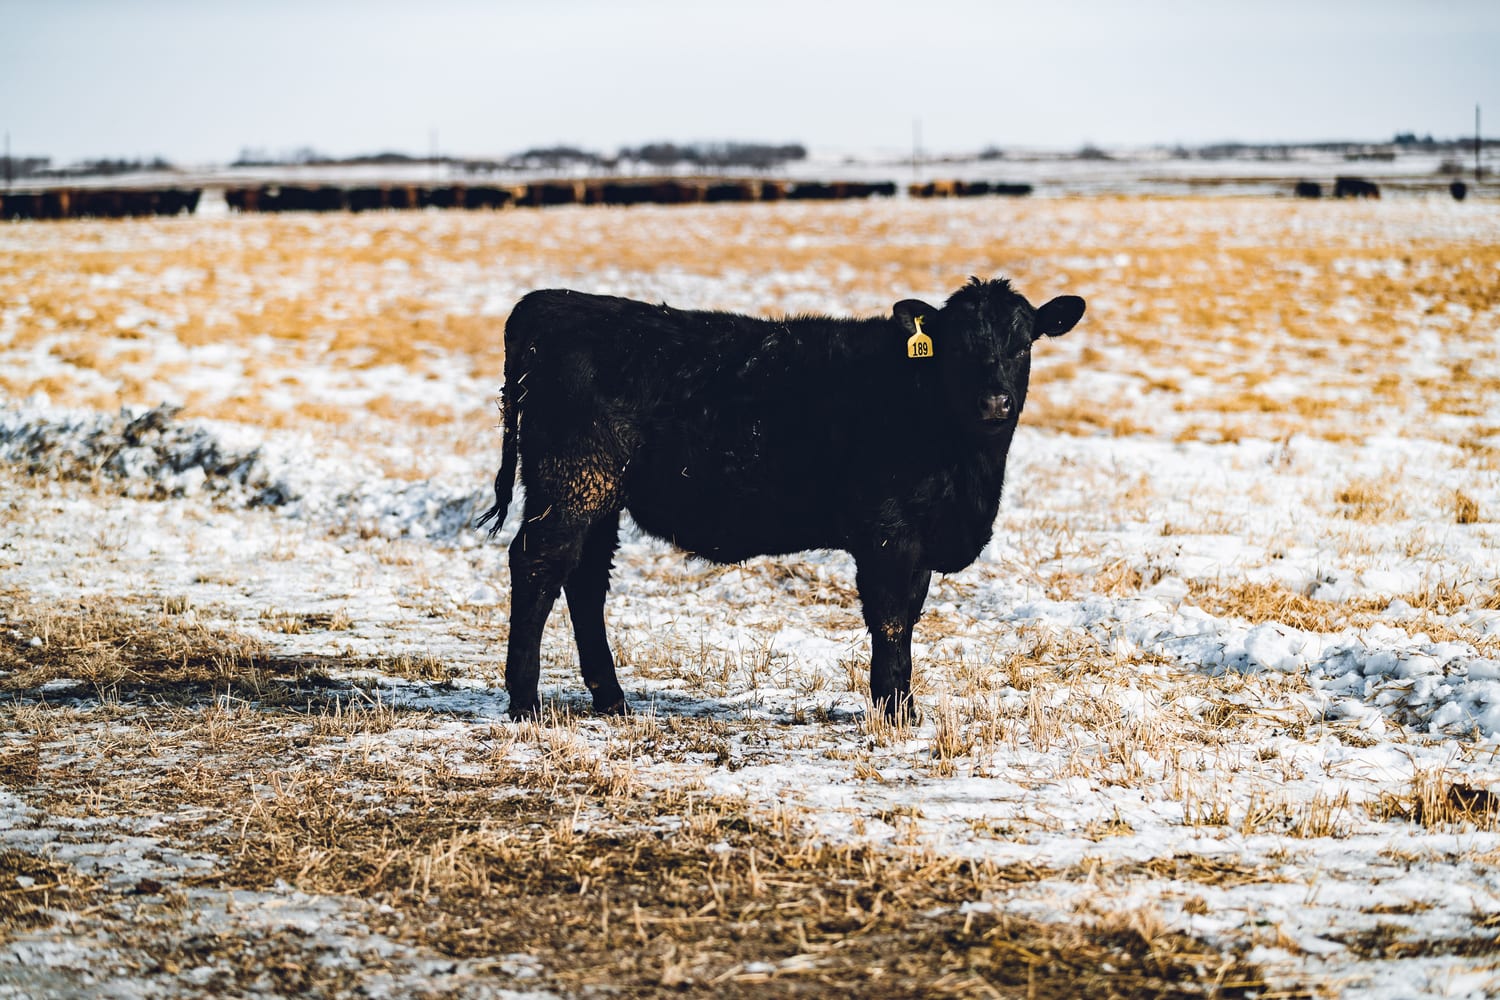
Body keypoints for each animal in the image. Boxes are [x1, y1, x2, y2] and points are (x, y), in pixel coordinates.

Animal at [478, 278, 1085, 721]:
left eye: (1022, 343)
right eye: (958, 348)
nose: (995, 402)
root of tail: (551, 303)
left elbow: (908, 615)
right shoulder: (889, 536)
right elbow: (891, 619)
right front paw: (896, 713)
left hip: (600, 498)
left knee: (583, 580)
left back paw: (612, 698)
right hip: (572, 484)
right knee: (538, 565)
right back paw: (526, 702)